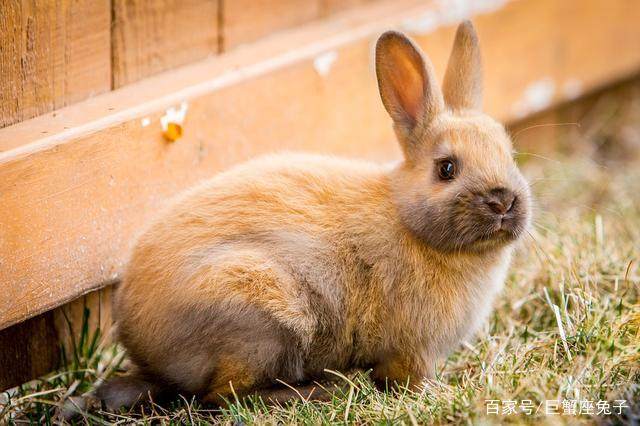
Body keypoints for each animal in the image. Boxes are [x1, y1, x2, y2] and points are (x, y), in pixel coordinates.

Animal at [95, 21, 528, 412]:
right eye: (446, 169)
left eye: (508, 153)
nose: (503, 202)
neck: (409, 222)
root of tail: (139, 338)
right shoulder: (412, 350)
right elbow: (409, 377)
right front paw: (431, 392)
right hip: (262, 321)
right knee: (223, 397)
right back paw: (321, 391)